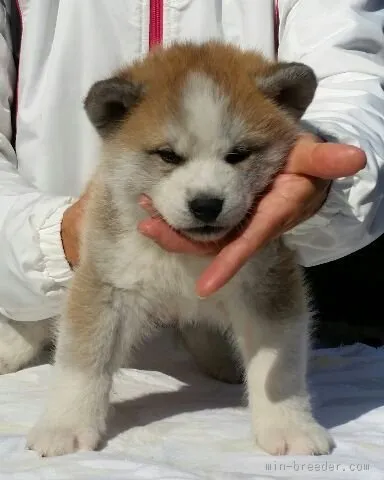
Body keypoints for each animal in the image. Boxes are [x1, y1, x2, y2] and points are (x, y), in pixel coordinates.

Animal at [27, 42, 334, 458]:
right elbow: (82, 362)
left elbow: (278, 368)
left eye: (238, 154)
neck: (187, 257)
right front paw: (65, 426)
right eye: (168, 155)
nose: (206, 204)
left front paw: (291, 426)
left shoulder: (268, 284)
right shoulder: (106, 281)